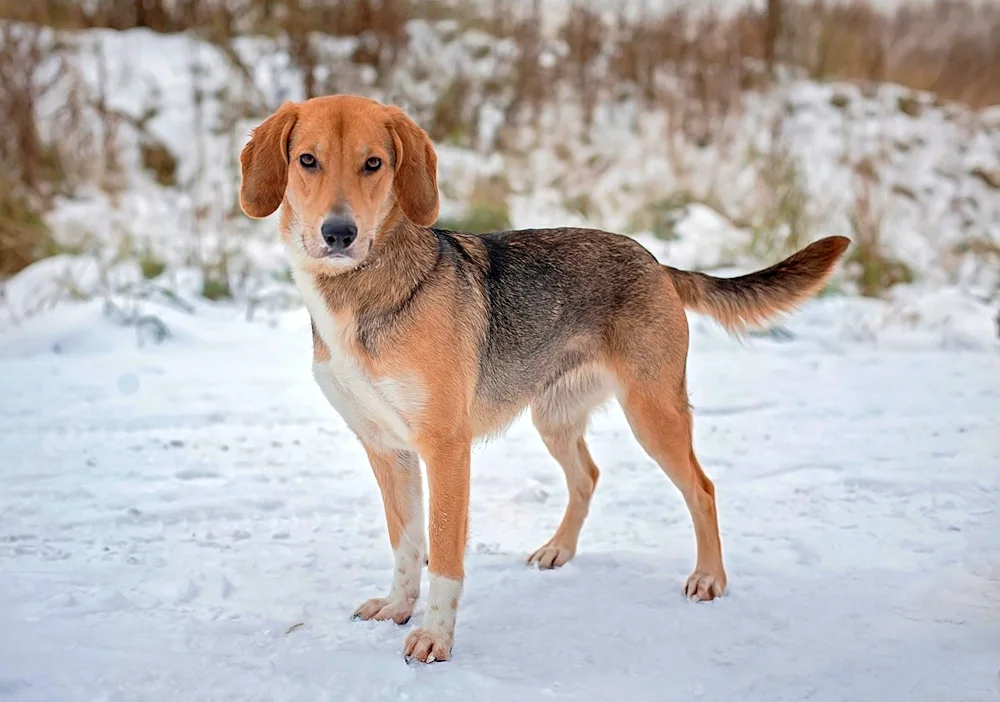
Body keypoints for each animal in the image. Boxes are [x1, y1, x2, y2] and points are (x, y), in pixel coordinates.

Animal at [238, 95, 848, 664]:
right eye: (307, 160)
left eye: (374, 164)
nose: (338, 233)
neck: (362, 295)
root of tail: (654, 261)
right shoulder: (387, 451)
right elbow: (406, 544)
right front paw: (397, 607)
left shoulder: (446, 449)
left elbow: (445, 556)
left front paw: (435, 637)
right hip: (552, 417)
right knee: (588, 477)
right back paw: (559, 550)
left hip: (654, 415)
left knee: (702, 489)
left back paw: (709, 578)